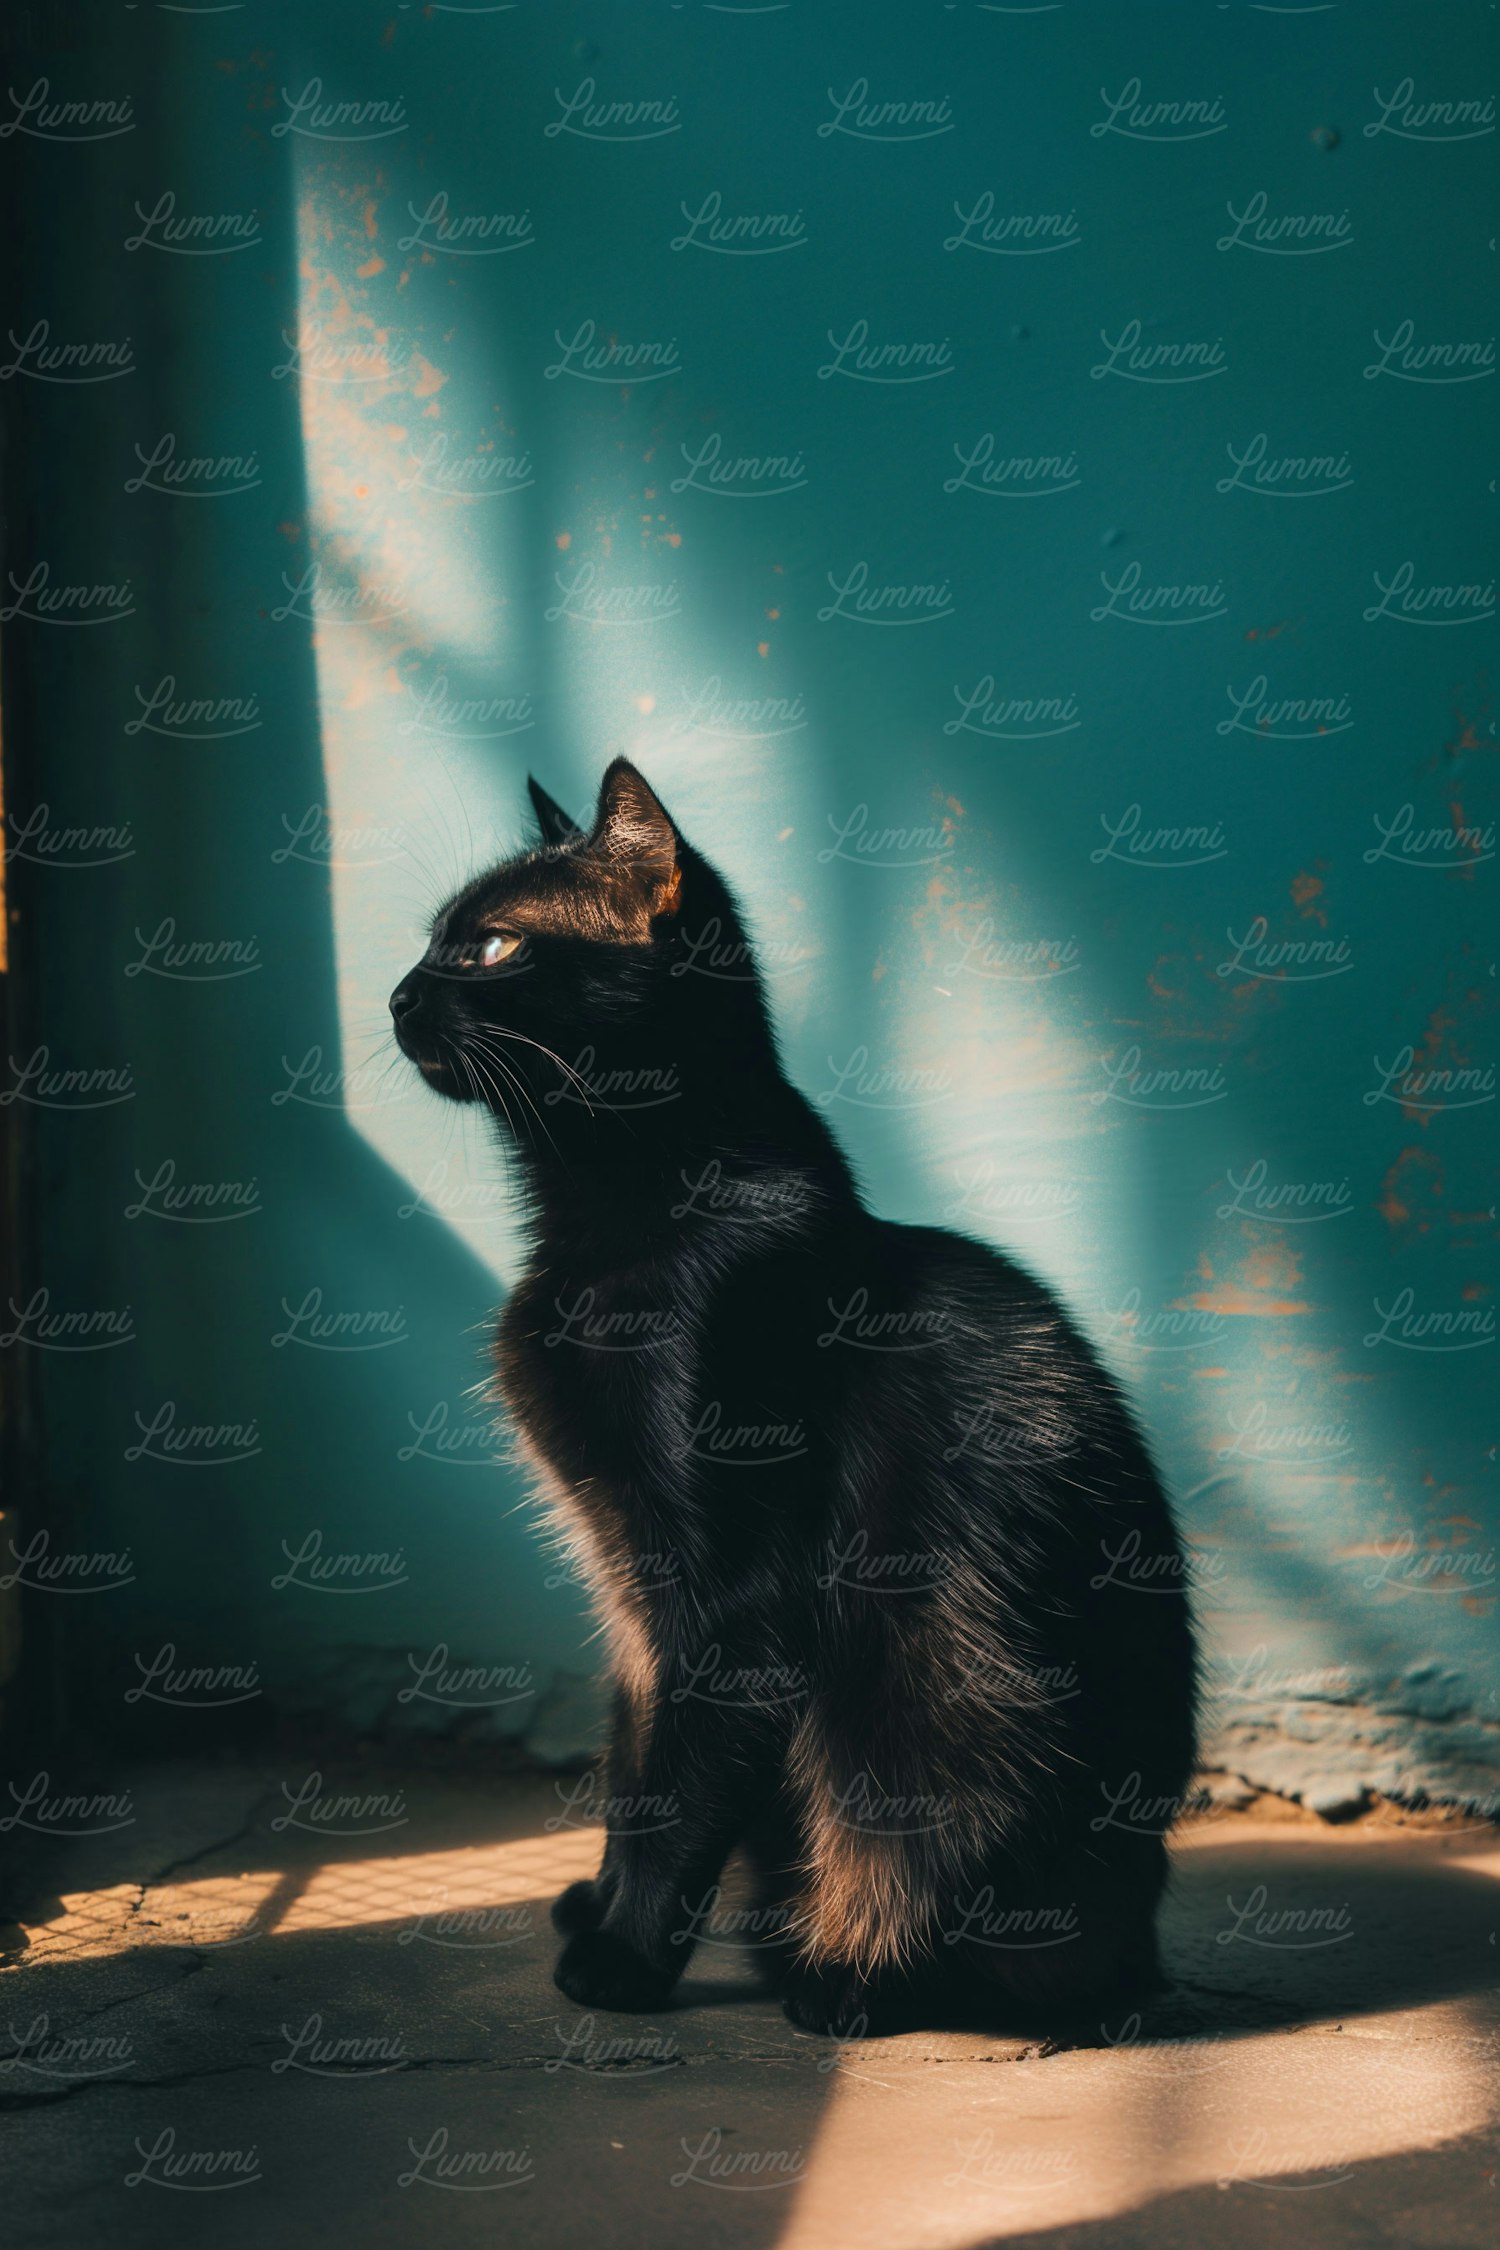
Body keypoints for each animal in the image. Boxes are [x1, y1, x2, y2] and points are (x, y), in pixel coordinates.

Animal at [393, 760, 1205, 2043]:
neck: (613, 1218)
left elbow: (677, 1793)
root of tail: (1147, 1950)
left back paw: (839, 1974)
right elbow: (634, 1769)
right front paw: (601, 1908)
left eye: (490, 947)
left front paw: (623, 1959)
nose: (393, 995)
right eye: (436, 941)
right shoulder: (637, 1611)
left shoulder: (733, 1598)